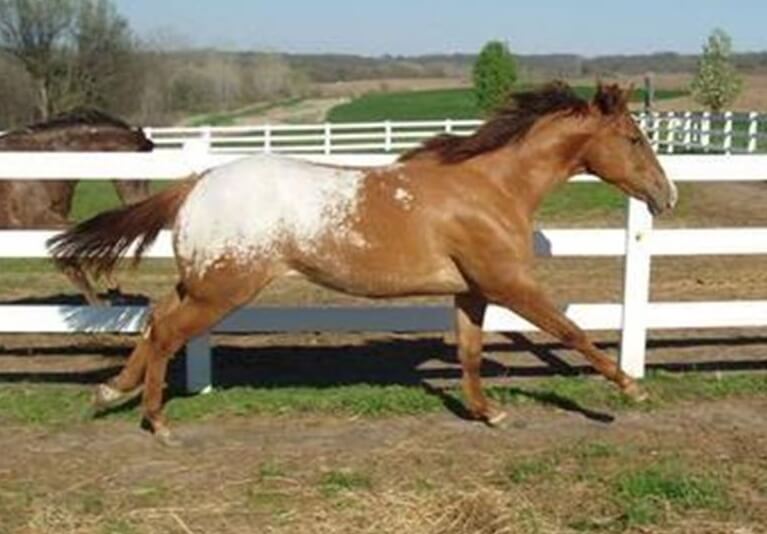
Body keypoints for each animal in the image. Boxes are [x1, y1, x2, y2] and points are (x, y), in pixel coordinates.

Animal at [51, 82, 680, 448]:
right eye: (633, 137)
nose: (666, 195)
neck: (489, 187)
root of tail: (195, 183)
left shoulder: (472, 291)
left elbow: (470, 353)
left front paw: (488, 413)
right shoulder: (509, 283)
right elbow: (572, 331)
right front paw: (632, 390)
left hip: (201, 282)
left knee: (156, 320)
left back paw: (110, 392)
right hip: (222, 290)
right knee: (165, 334)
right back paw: (156, 420)